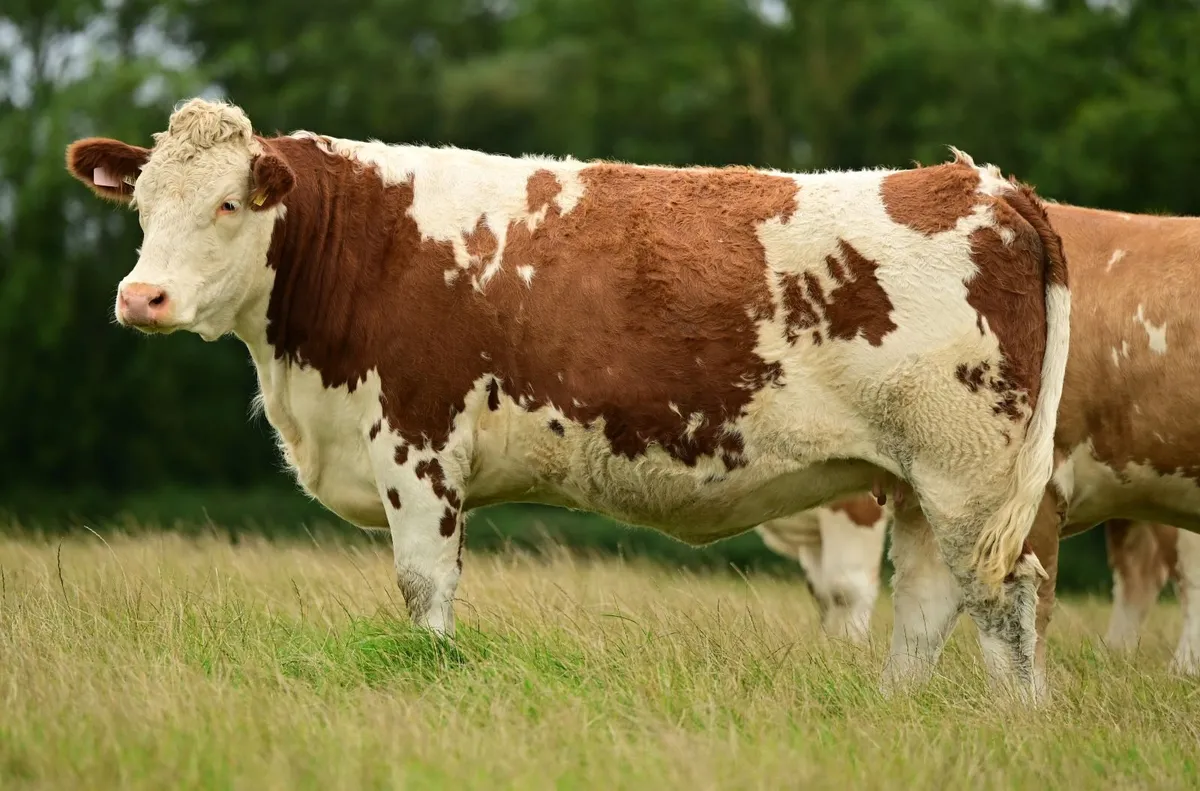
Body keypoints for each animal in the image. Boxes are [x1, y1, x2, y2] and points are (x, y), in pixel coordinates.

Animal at [65, 97, 1070, 700]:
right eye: (142, 204)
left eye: (229, 203)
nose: (140, 296)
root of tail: (984, 183)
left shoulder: (419, 437)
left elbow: (425, 585)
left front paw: (435, 674)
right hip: (916, 480)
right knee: (930, 604)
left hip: (967, 473)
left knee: (1004, 599)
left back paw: (1014, 721)